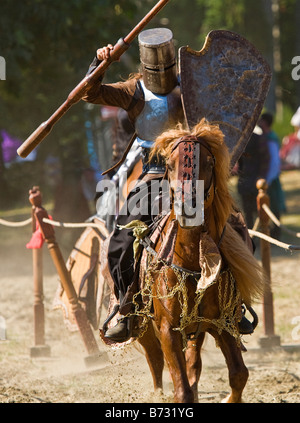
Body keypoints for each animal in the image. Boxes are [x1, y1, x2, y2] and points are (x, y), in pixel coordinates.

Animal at [131, 119, 264, 404]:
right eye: (170, 165)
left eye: (210, 163)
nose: (188, 207)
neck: (192, 261)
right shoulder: (168, 329)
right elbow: (182, 389)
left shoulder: (223, 323)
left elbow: (239, 374)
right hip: (146, 326)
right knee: (154, 359)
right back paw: (158, 391)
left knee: (193, 363)